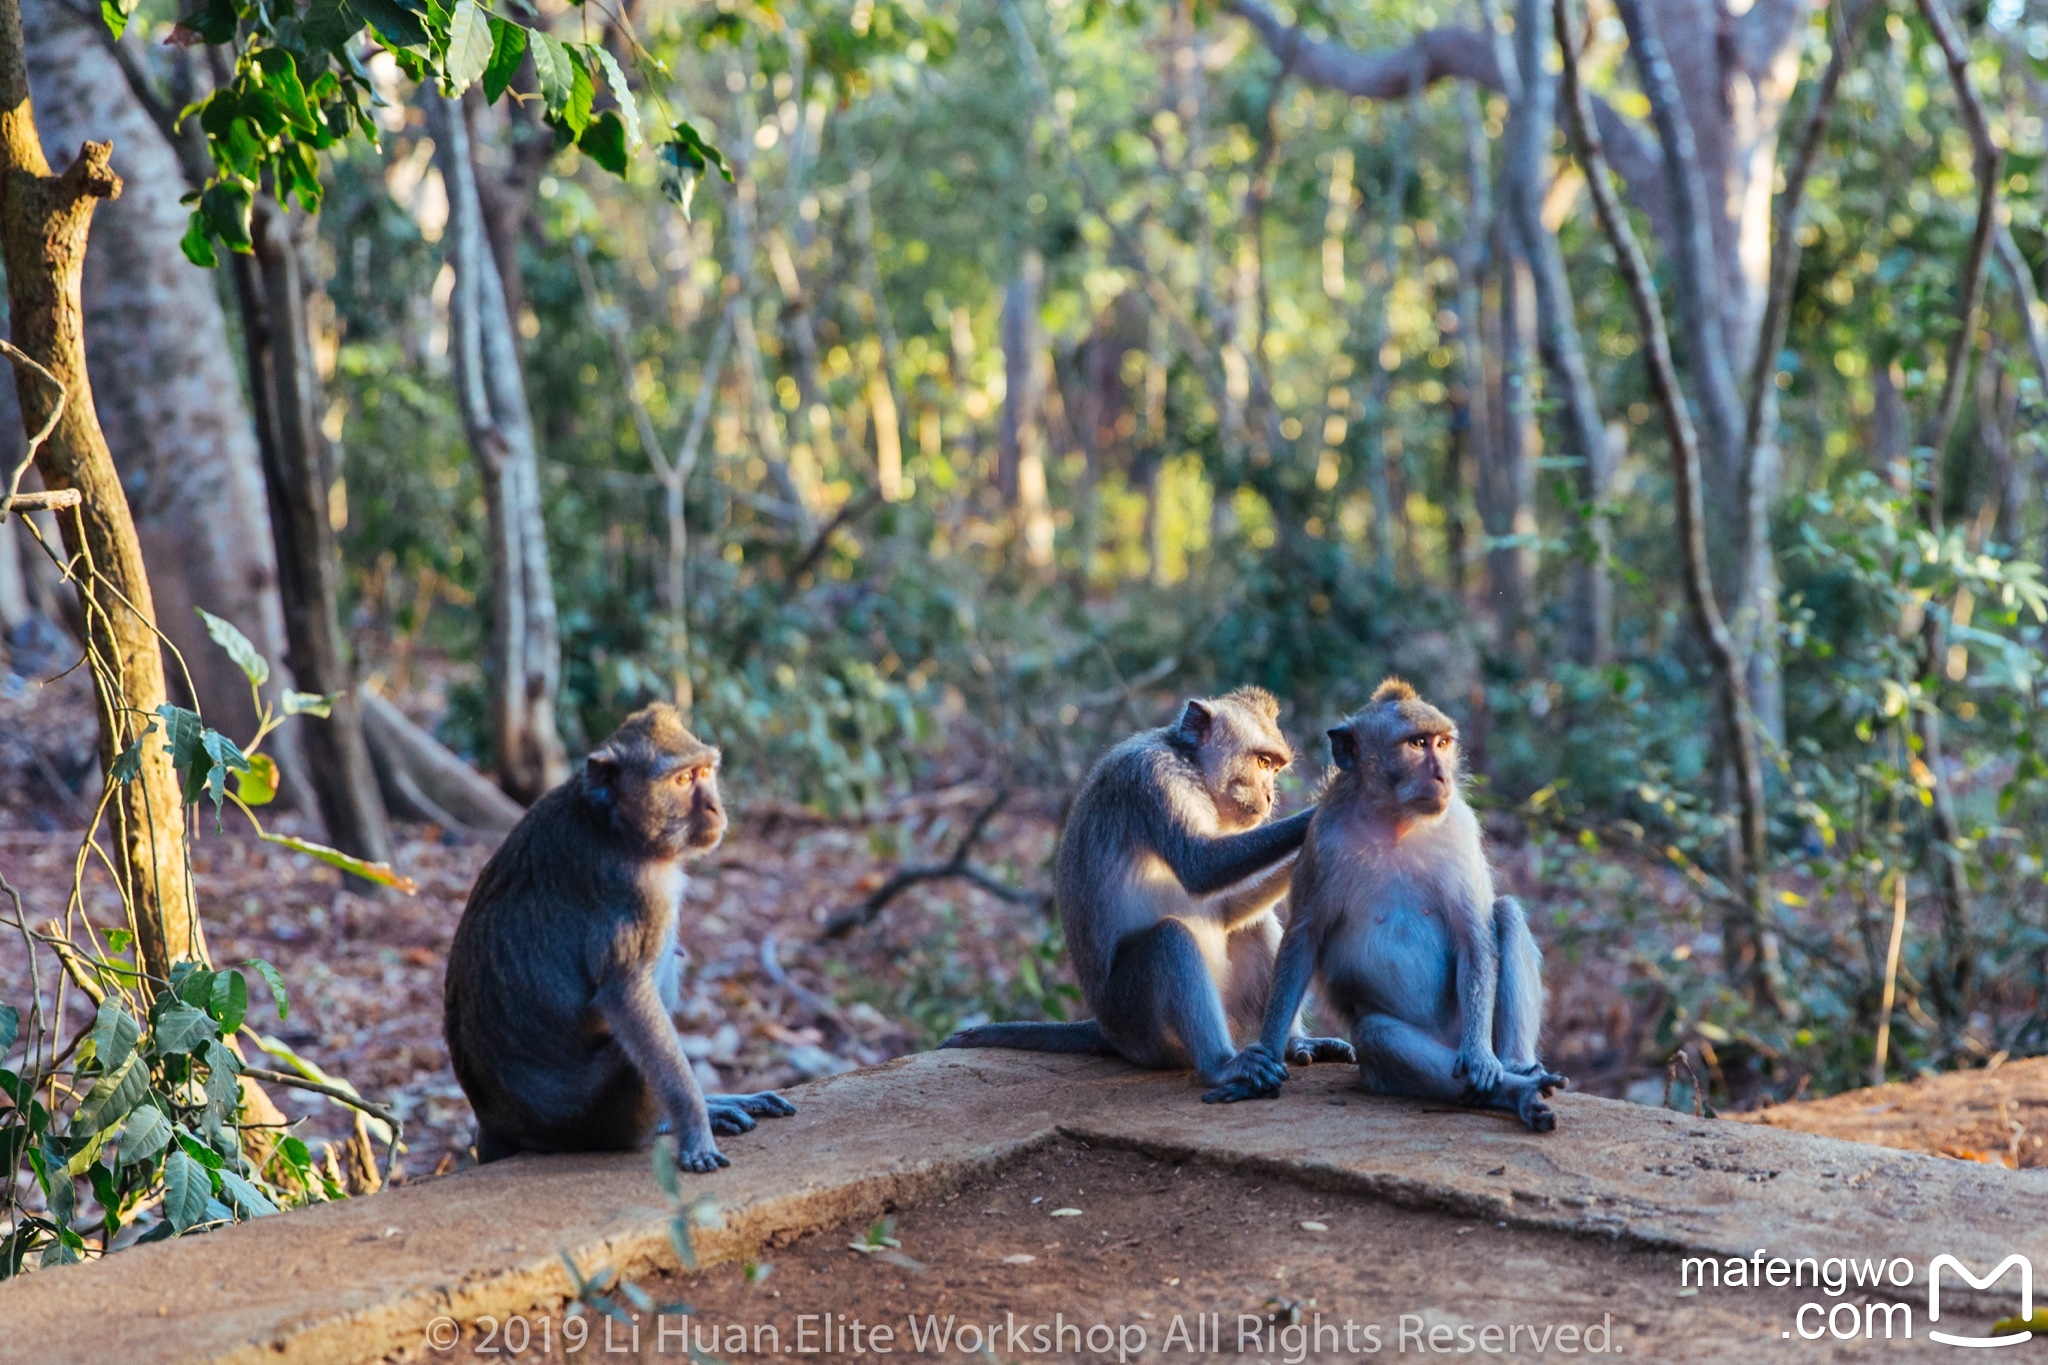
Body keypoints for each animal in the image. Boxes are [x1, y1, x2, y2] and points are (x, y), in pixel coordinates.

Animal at [444, 699, 794, 1170]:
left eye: (705, 772)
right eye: (683, 779)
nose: (715, 810)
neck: (614, 824)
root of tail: (493, 1122)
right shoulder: (635, 893)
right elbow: (626, 997)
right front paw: (695, 1128)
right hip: (588, 1118)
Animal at [942, 687, 1359, 1096]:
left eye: (1274, 768)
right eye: (1261, 762)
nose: (1270, 795)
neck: (1190, 768)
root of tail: (1106, 1030)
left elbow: (1227, 910)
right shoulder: (1153, 779)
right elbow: (1201, 866)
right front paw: (1318, 814)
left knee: (1251, 925)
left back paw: (1292, 1045)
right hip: (1137, 1021)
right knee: (1168, 941)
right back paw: (1221, 1066)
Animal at [1196, 679, 1564, 1129]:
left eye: (1442, 743)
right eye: (1417, 743)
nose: (1442, 775)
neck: (1394, 821)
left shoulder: (1460, 828)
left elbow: (1474, 935)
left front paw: (1480, 1056)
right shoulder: (1322, 838)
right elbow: (1303, 939)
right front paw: (1263, 1061)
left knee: (1505, 915)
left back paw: (1516, 1068)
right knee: (1377, 1034)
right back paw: (1515, 1093)